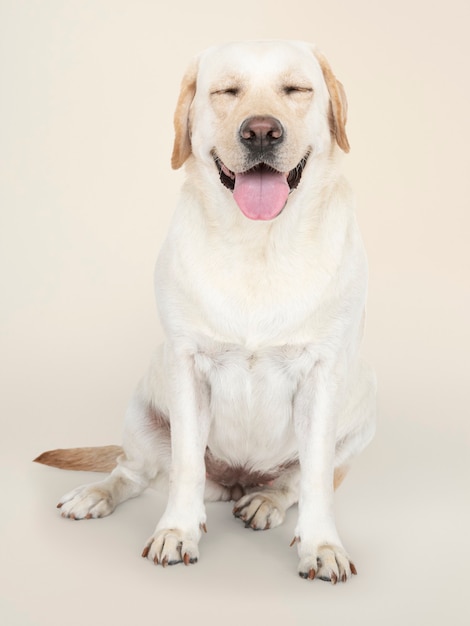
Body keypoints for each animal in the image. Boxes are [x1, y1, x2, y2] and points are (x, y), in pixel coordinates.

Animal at [35, 41, 376, 584]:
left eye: (296, 89)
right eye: (226, 91)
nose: (261, 132)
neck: (258, 244)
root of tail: (237, 481)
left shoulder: (323, 375)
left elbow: (315, 478)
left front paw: (322, 547)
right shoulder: (187, 366)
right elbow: (185, 468)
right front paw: (177, 532)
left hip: (362, 414)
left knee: (292, 482)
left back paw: (264, 501)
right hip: (142, 409)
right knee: (133, 471)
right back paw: (96, 495)